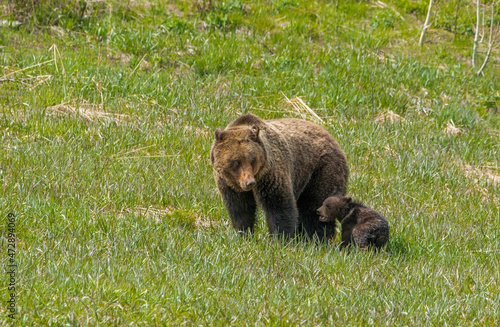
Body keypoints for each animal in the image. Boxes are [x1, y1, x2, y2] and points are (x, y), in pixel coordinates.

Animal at [208, 114, 348, 242]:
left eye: (252, 160)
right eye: (236, 162)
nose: (249, 182)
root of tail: (332, 138)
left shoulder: (270, 175)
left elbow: (279, 207)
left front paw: (281, 239)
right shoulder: (229, 185)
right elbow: (240, 210)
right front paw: (244, 234)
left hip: (320, 170)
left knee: (315, 206)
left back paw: (317, 239)